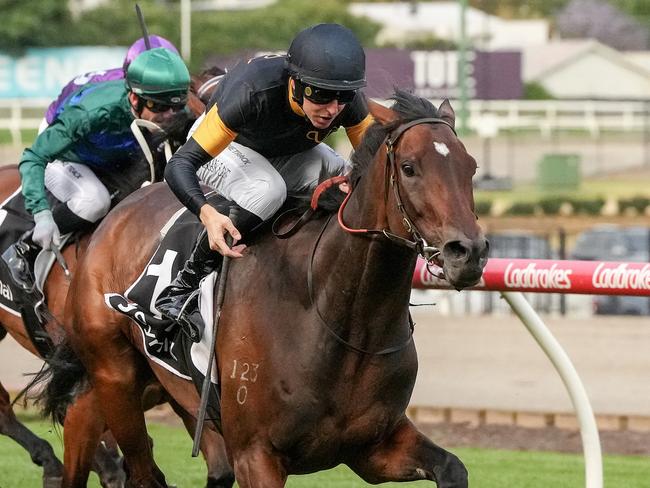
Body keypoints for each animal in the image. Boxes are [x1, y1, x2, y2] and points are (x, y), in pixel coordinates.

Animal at [38, 89, 484, 486]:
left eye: (471, 167)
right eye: (409, 167)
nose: (469, 252)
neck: (335, 316)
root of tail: (115, 215)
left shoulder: (373, 446)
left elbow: (453, 468)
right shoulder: (257, 455)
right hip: (116, 377)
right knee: (140, 471)